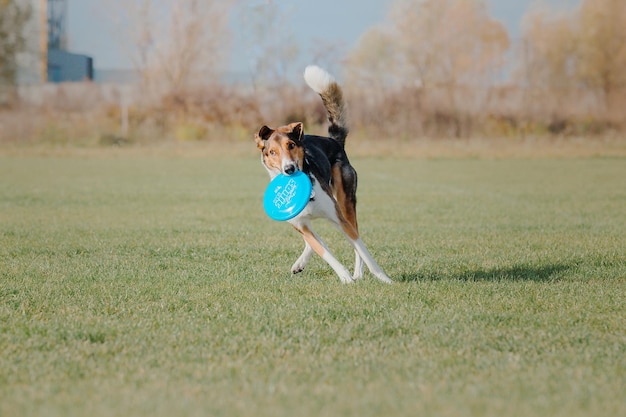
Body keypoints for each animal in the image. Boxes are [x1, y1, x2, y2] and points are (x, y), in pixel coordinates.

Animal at [254, 65, 390, 282]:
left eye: (291, 145)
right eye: (272, 152)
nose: (289, 169)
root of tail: (334, 140)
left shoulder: (339, 219)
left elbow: (362, 249)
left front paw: (382, 278)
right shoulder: (301, 225)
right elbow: (324, 251)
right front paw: (345, 278)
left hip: (345, 201)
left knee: (355, 234)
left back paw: (358, 272)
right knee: (316, 241)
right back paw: (300, 264)